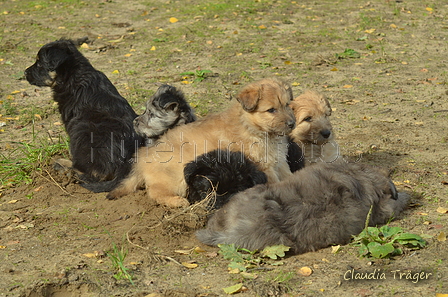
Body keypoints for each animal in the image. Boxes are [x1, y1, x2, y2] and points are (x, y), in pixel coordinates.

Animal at [25, 38, 144, 192]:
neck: (73, 74)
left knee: (96, 173)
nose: (24, 72)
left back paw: (65, 167)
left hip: (82, 129)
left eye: (39, 63)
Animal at [107, 79, 298, 208]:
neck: (251, 126)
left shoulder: (280, 162)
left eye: (288, 105)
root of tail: (141, 159)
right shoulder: (264, 166)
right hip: (175, 177)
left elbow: (290, 176)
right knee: (155, 192)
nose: (292, 124)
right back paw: (177, 201)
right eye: (271, 110)